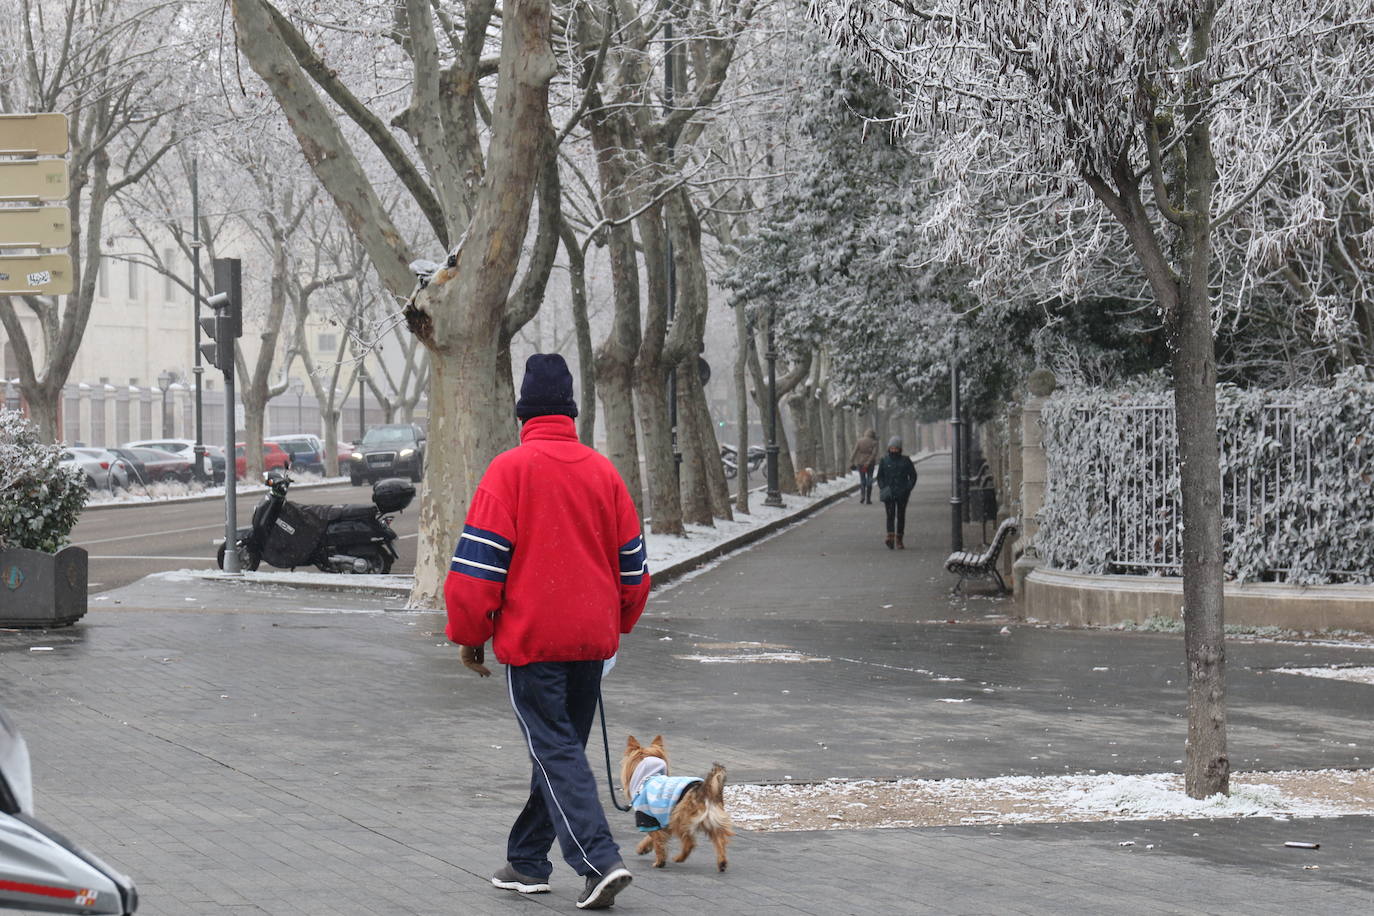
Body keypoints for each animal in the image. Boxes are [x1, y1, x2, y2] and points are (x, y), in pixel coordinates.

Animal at [621, 736, 736, 873]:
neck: (648, 777)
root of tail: (704, 790)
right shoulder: (662, 821)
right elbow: (653, 838)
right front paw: (643, 848)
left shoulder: (648, 818)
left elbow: (657, 841)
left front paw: (659, 861)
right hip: (712, 821)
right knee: (719, 840)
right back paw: (722, 862)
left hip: (679, 818)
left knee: (689, 842)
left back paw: (679, 858)